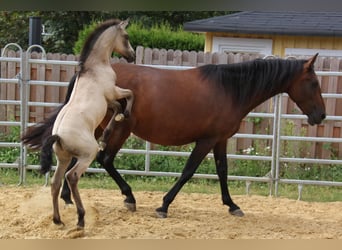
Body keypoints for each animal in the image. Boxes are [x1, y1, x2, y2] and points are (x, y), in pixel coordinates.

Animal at [22, 53, 326, 219]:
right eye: (313, 82)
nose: (321, 116)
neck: (230, 89)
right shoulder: (206, 141)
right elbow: (188, 171)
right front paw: (164, 205)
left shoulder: (220, 140)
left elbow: (223, 171)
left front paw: (232, 205)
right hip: (119, 129)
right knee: (105, 159)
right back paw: (128, 197)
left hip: (97, 126)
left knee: (78, 159)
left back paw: (67, 197)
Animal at [39, 18, 135, 229]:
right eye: (126, 36)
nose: (132, 56)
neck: (94, 69)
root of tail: (58, 135)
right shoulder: (112, 93)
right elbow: (129, 96)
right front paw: (124, 115)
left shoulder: (110, 100)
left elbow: (118, 107)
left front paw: (107, 134)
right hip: (85, 156)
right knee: (72, 177)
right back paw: (81, 217)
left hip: (63, 158)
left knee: (56, 183)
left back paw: (58, 220)